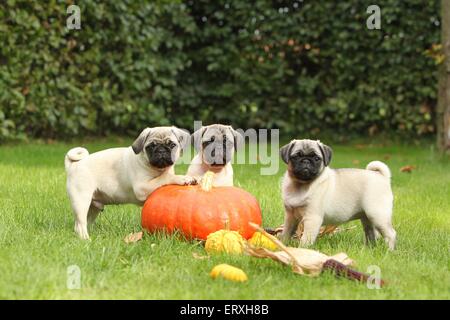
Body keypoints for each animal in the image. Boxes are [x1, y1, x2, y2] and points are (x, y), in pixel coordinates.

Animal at [64, 126, 197, 239]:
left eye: (172, 145)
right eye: (150, 146)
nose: (161, 150)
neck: (157, 169)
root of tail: (73, 165)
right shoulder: (142, 187)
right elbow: (164, 177)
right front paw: (182, 178)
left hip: (93, 207)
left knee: (84, 222)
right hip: (81, 201)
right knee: (80, 224)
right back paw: (86, 239)